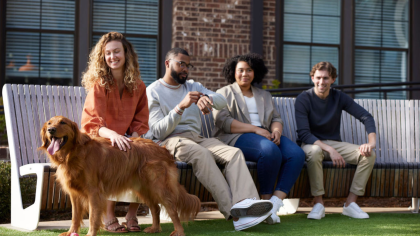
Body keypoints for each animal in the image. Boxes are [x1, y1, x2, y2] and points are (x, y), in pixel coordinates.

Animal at [40, 116, 201, 236]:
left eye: (63, 122)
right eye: (49, 123)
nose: (50, 130)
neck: (73, 153)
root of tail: (162, 149)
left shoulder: (93, 192)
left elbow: (93, 217)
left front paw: (91, 233)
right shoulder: (74, 194)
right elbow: (74, 216)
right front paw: (71, 232)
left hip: (159, 187)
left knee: (172, 209)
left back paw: (179, 231)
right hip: (144, 189)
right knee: (156, 207)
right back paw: (155, 228)